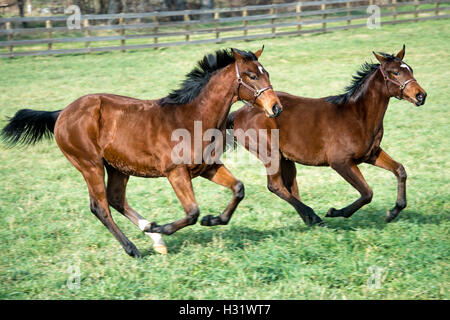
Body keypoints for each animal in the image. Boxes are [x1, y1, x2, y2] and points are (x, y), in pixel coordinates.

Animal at [0, 46, 282, 258]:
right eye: (251, 75)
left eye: (266, 72)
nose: (276, 107)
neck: (192, 117)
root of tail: (61, 113)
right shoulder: (175, 172)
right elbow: (192, 212)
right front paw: (165, 226)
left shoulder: (208, 167)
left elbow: (238, 189)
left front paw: (212, 220)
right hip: (90, 165)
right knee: (100, 206)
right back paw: (134, 247)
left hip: (118, 167)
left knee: (115, 199)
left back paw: (153, 236)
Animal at [227, 45, 428, 225]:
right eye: (395, 72)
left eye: (410, 69)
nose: (421, 96)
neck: (358, 116)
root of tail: (239, 112)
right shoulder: (340, 162)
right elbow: (367, 193)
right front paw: (336, 212)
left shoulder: (371, 154)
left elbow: (400, 170)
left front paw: (394, 211)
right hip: (270, 154)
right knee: (276, 186)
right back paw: (314, 217)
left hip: (285, 158)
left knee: (290, 187)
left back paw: (311, 220)